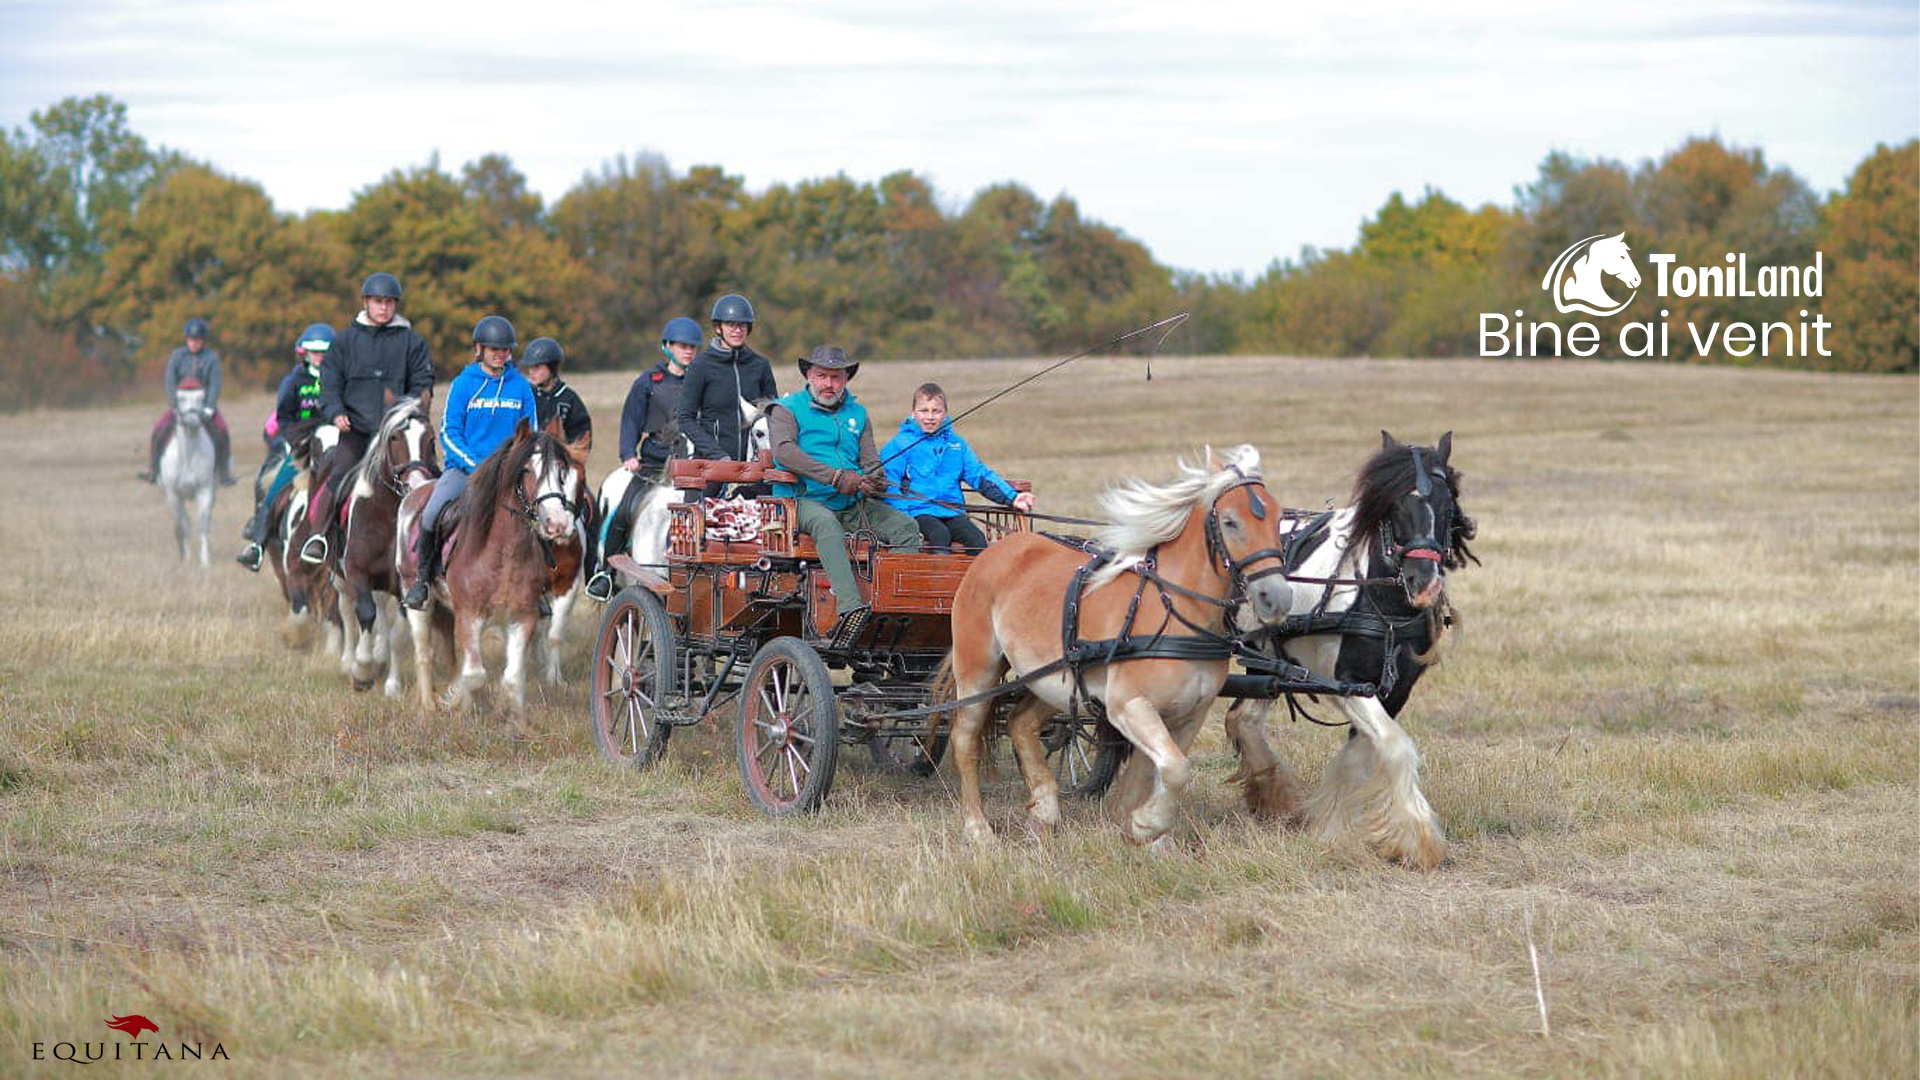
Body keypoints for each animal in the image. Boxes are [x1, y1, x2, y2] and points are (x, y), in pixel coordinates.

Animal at [158, 378, 218, 564]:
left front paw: (205, 561)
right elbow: (183, 524)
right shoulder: (174, 494)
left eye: (201, 397)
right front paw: (186, 558)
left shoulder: (205, 490)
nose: (192, 419)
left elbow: (203, 523)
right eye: (180, 397)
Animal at [397, 420, 583, 714]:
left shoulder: (522, 617)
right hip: (415, 597)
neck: (504, 551)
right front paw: (462, 706)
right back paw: (428, 705)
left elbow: (513, 678)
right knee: (424, 652)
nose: (557, 523)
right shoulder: (469, 615)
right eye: (526, 469)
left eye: (560, 472)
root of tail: (416, 491)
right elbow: (474, 675)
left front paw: (512, 716)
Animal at [944, 443, 1290, 841]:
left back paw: (1045, 810)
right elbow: (1176, 769)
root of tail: (995, 551)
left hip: (1054, 679)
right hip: (978, 671)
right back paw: (977, 827)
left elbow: (1156, 772)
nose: (1275, 597)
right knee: (965, 738)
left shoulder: (1190, 714)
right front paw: (1145, 823)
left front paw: (1144, 831)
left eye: (1278, 519)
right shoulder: (1128, 705)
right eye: (1231, 521)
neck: (1177, 612)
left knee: (1021, 722)